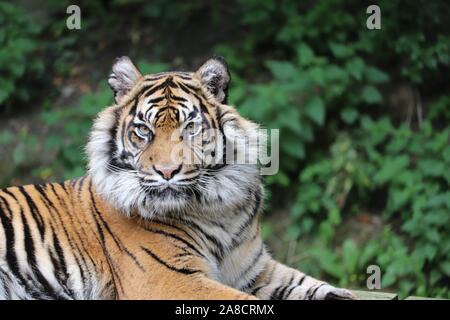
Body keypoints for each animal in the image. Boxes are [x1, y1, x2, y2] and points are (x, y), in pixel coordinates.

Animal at [0, 55, 356, 300]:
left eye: (190, 127)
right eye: (144, 130)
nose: (167, 171)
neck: (218, 209)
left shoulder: (255, 269)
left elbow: (314, 286)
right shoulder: (169, 278)